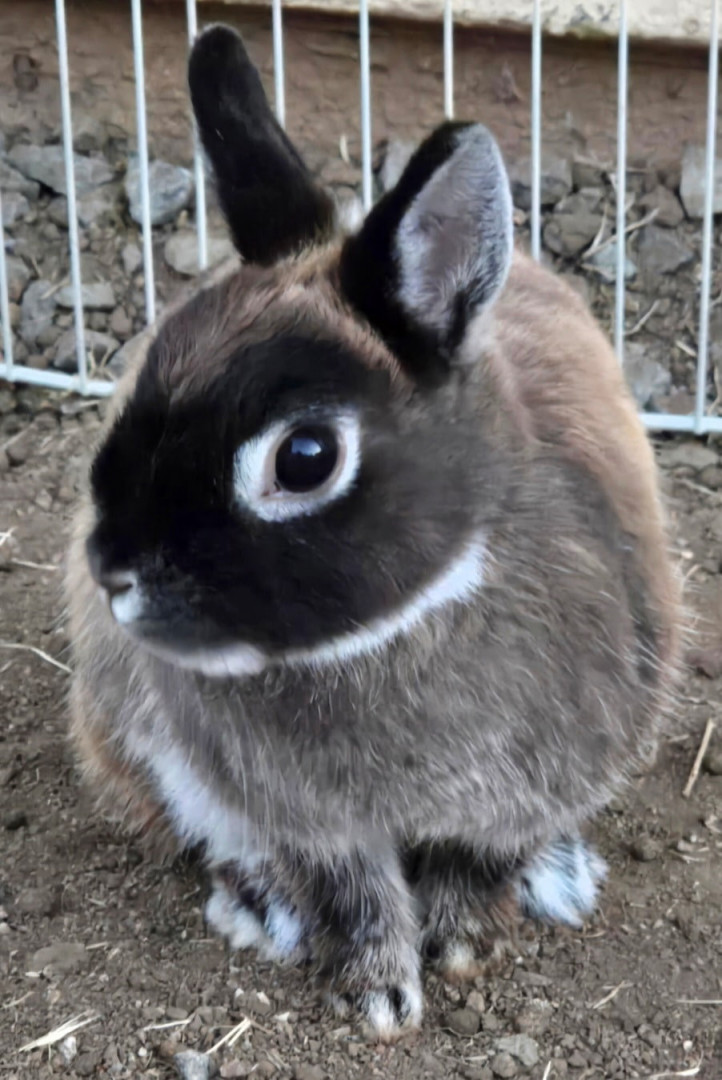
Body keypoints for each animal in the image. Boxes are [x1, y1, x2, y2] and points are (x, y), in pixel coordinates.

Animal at [64, 23, 682, 1040]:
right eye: (139, 387)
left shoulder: (547, 773)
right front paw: (381, 996)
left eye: (305, 458)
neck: (399, 627)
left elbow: (478, 858)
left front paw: (463, 943)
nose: (113, 573)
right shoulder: (309, 822)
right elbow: (353, 892)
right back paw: (262, 905)